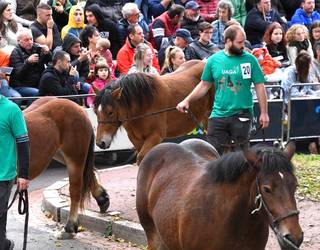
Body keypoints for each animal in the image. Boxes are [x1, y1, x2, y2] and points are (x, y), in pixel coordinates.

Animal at [22, 97, 110, 238]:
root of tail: (77, 108)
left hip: (74, 158)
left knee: (75, 190)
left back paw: (69, 227)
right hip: (59, 154)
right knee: (88, 172)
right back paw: (101, 197)